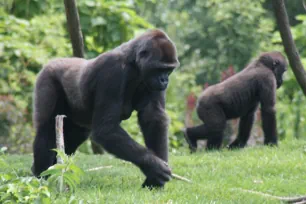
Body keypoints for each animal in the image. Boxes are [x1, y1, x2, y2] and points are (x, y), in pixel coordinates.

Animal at [31, 29, 179, 189]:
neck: (133, 63)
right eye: (159, 69)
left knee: (76, 134)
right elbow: (106, 129)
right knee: (46, 129)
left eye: (169, 70)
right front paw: (154, 166)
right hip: (47, 77)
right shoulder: (112, 71)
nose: (164, 80)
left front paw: (154, 180)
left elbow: (153, 118)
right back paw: (41, 175)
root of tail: (52, 62)